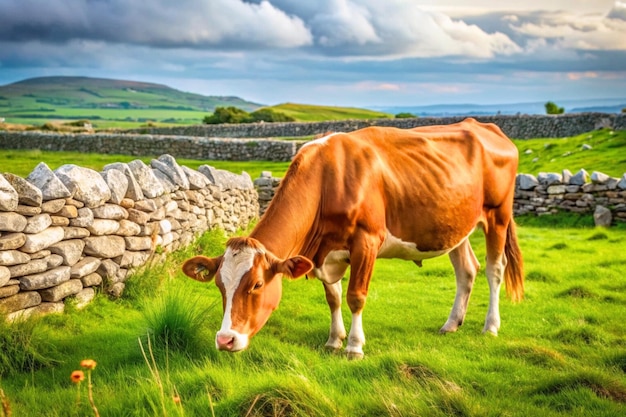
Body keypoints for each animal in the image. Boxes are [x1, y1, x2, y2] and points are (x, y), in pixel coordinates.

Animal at [180, 117, 520, 358]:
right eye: (219, 285)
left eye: (257, 285)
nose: (225, 340)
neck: (326, 179)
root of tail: (486, 127)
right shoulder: (324, 253)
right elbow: (333, 296)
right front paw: (334, 340)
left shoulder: (366, 241)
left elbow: (356, 295)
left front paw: (354, 346)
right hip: (455, 225)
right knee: (466, 270)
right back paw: (451, 324)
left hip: (498, 214)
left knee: (494, 269)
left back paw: (491, 326)